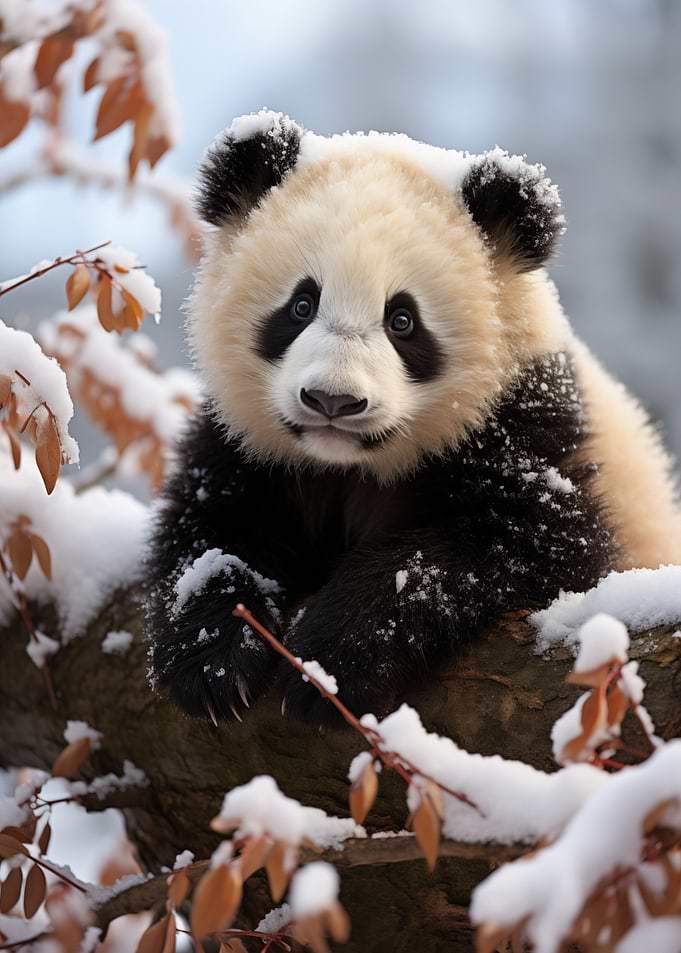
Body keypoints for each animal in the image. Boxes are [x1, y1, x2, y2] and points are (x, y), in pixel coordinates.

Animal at [144, 109, 681, 727]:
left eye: (402, 320)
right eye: (301, 306)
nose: (333, 401)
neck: (350, 467)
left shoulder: (527, 429)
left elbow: (520, 548)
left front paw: (330, 662)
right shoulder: (245, 446)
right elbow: (210, 531)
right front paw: (211, 660)